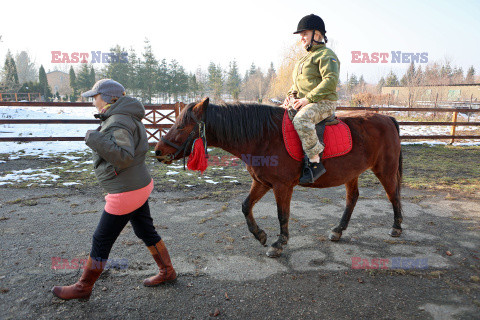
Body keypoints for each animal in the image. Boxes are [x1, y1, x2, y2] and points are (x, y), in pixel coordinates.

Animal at [154, 97, 402, 258]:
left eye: (182, 126)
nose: (158, 152)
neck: (263, 136)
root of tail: (388, 119)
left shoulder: (282, 186)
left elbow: (282, 215)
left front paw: (279, 243)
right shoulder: (262, 182)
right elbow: (246, 206)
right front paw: (260, 235)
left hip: (385, 170)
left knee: (394, 196)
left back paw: (397, 227)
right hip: (352, 173)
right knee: (353, 198)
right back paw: (338, 230)